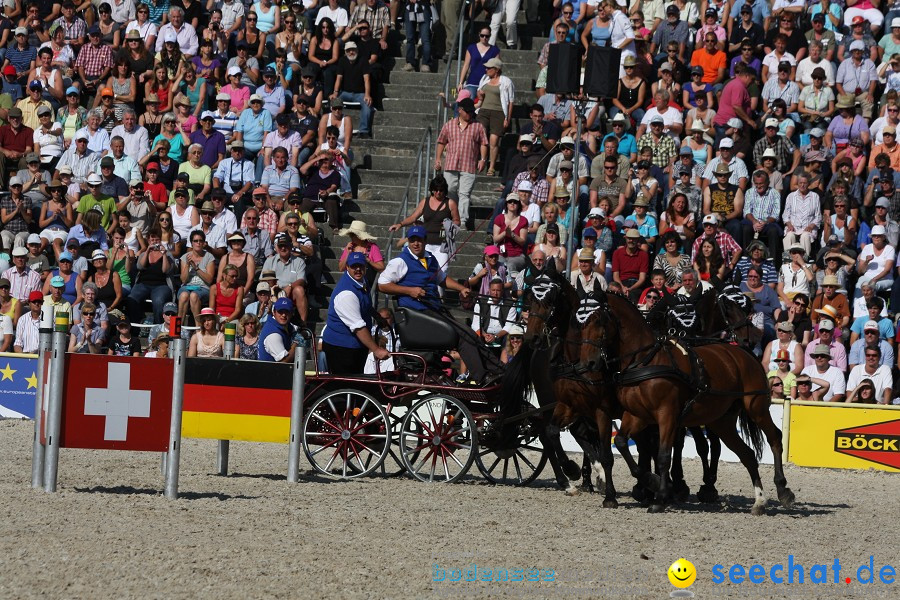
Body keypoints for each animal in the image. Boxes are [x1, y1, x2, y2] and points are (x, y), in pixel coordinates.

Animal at [576, 290, 796, 516]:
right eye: (580, 322)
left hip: (756, 407)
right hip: (722, 422)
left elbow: (665, 455)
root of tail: (745, 354)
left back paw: (782, 489)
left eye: (599, 320)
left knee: (774, 438)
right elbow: (621, 443)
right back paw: (759, 500)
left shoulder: (667, 415)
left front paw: (661, 496)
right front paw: (651, 482)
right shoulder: (637, 415)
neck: (645, 360)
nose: (588, 363)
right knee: (747, 454)